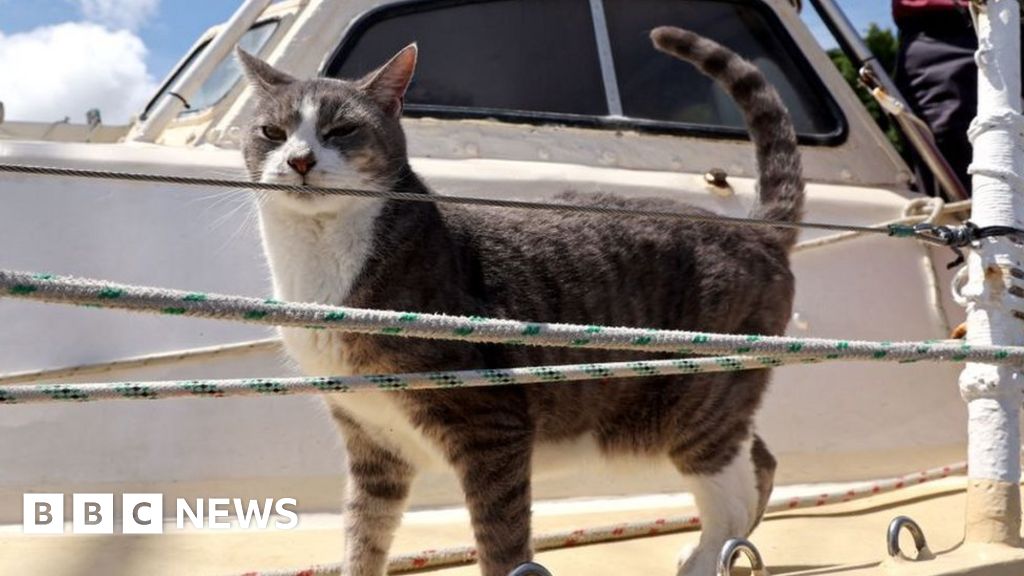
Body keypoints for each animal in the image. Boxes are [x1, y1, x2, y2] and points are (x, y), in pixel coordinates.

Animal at [237, 28, 798, 573]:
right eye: (271, 133)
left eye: (340, 131)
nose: (300, 159)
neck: (323, 263)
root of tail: (757, 230)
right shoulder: (373, 441)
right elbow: (364, 534)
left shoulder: (491, 425)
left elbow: (500, 541)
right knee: (761, 459)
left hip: (696, 401)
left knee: (728, 494)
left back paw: (708, 557)